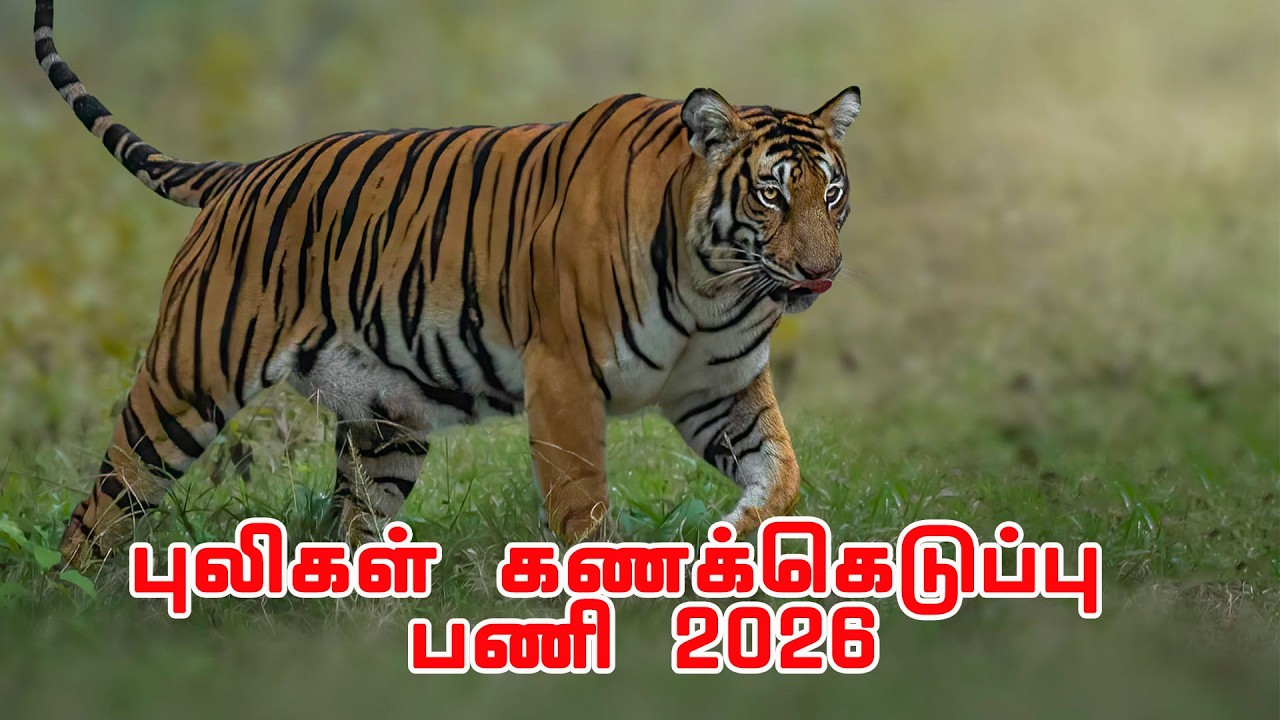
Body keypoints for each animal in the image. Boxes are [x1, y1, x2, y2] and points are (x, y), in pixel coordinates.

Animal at [34, 0, 861, 570]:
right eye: (772, 196)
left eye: (831, 195)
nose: (822, 272)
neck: (716, 290)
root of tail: (241, 174)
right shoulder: (564, 379)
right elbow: (584, 508)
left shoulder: (719, 391)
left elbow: (782, 474)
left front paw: (727, 542)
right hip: (184, 385)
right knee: (100, 511)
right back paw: (67, 610)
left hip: (385, 422)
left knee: (353, 526)